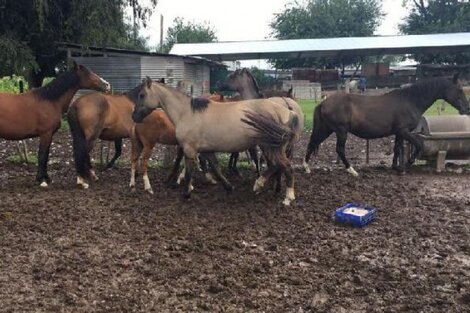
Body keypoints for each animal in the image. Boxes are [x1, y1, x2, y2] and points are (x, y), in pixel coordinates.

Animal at [131, 77, 304, 205]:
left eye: (142, 95)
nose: (134, 116)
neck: (187, 113)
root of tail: (287, 110)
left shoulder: (190, 150)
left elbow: (189, 172)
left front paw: (186, 194)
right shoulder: (206, 150)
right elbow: (216, 168)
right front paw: (228, 187)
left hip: (269, 146)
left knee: (286, 166)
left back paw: (287, 197)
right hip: (271, 147)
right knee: (277, 166)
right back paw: (260, 185)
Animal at [302, 74, 468, 174]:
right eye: (459, 89)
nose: (466, 108)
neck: (410, 101)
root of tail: (323, 102)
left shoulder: (399, 133)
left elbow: (397, 149)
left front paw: (396, 167)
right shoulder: (404, 131)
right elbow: (419, 144)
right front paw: (407, 163)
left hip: (326, 129)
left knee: (312, 143)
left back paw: (307, 167)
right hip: (341, 131)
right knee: (339, 149)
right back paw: (352, 170)